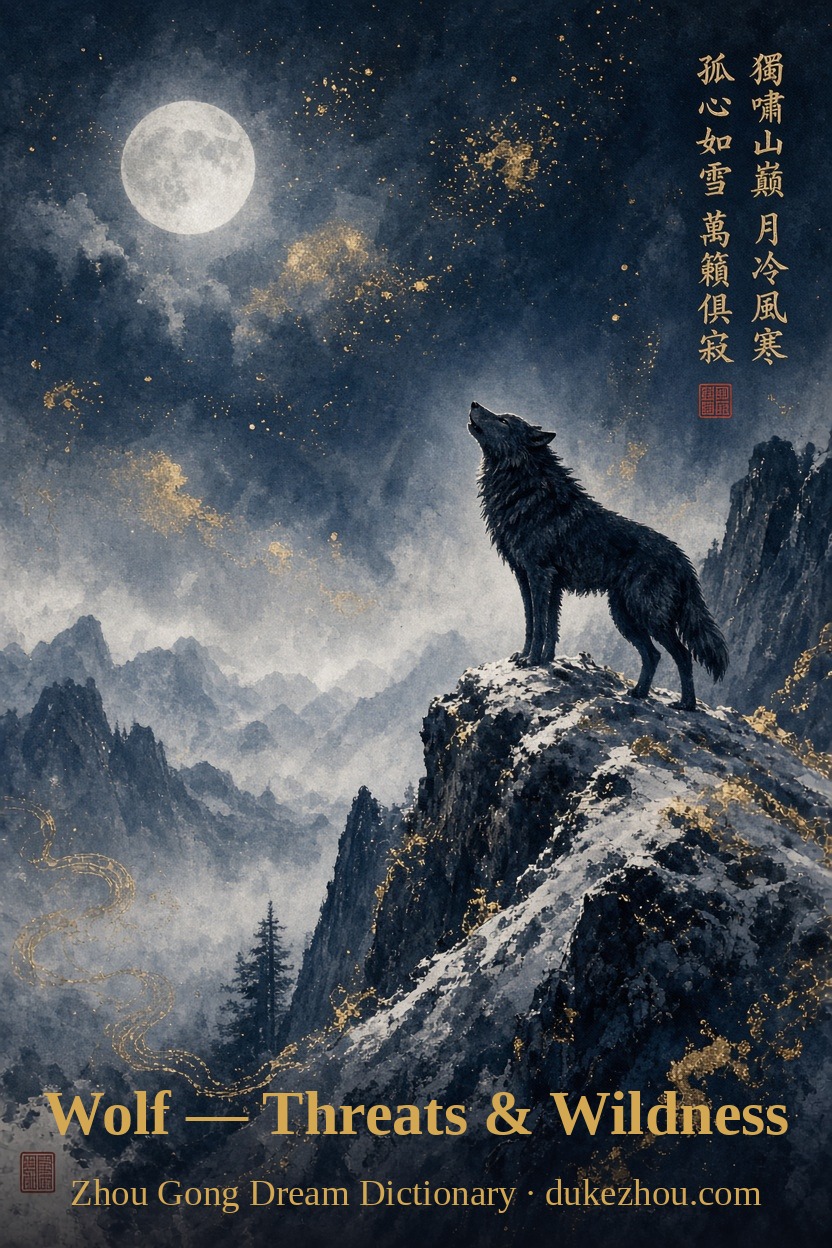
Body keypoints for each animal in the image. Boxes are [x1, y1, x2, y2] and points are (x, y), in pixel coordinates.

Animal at [468, 402, 728, 710]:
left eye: (503, 421)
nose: (474, 404)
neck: (525, 490)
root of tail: (682, 560)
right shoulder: (528, 577)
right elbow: (538, 623)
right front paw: (538, 659)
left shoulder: (539, 575)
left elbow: (541, 624)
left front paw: (531, 660)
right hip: (624, 615)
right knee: (653, 655)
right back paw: (638, 693)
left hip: (649, 616)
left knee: (682, 655)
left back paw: (685, 704)